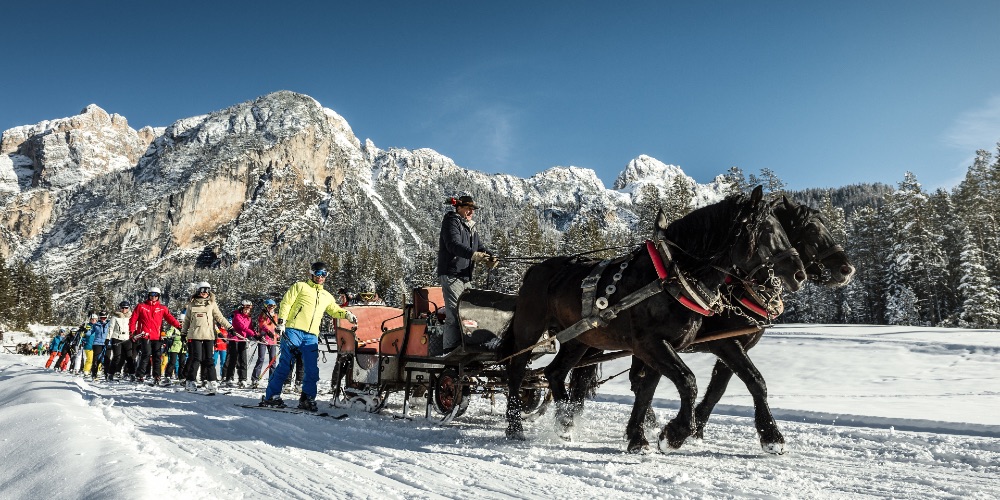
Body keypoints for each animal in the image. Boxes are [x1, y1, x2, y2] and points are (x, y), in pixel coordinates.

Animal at [500, 188, 804, 450]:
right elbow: (688, 381)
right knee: (515, 372)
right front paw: (676, 434)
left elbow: (651, 389)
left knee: (555, 373)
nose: (799, 274)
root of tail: (534, 270)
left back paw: (565, 420)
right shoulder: (655, 343)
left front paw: (639, 437)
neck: (671, 276)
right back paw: (515, 426)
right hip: (529, 330)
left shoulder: (671, 345)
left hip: (580, 339)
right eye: (767, 230)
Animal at [568, 197, 856, 456]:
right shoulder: (723, 342)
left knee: (633, 380)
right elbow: (753, 381)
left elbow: (721, 388)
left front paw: (694, 428)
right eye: (811, 229)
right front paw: (769, 436)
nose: (847, 270)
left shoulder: (735, 344)